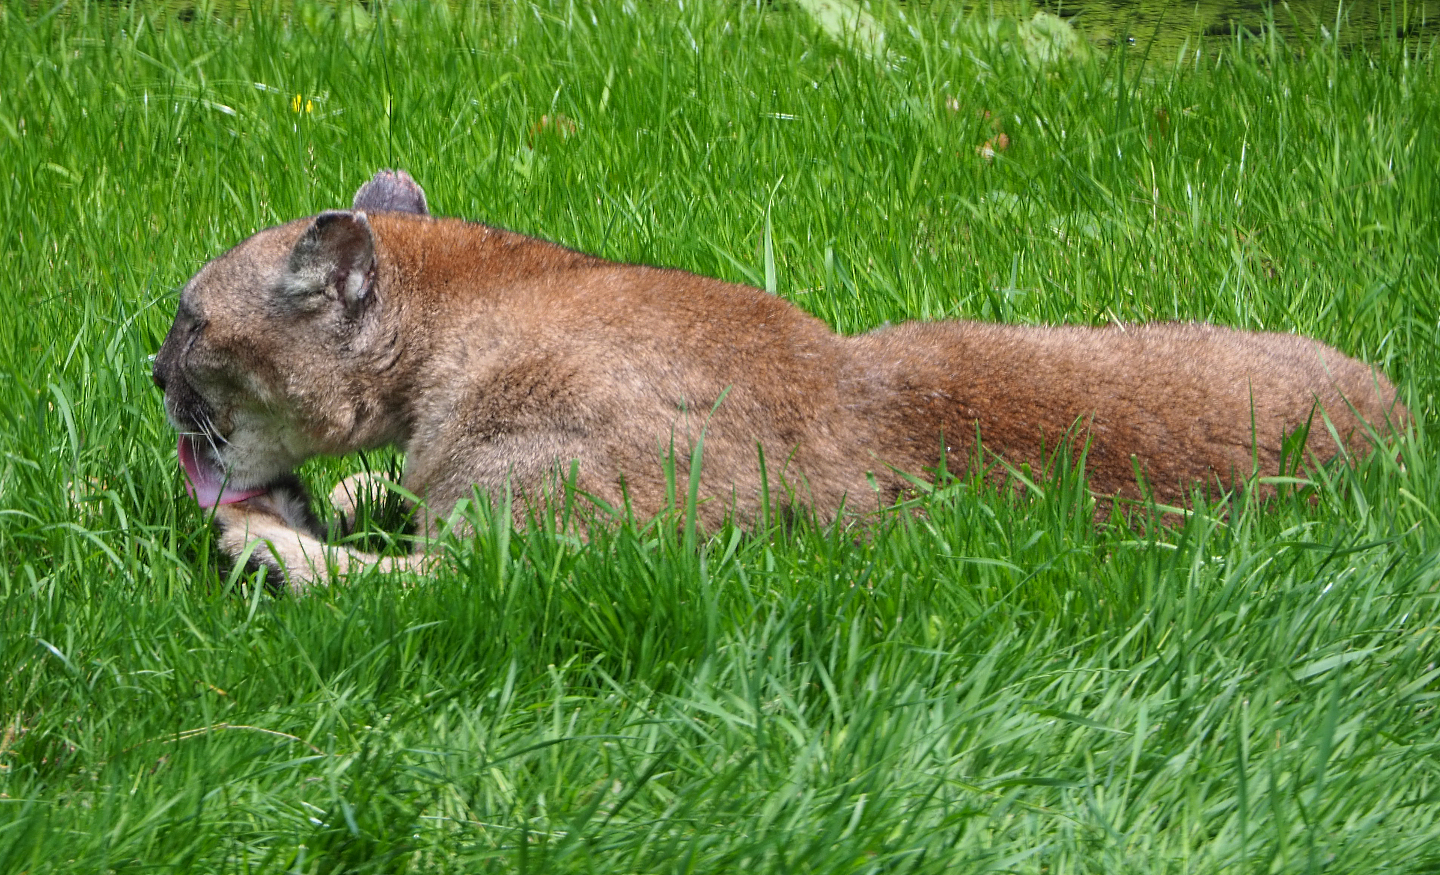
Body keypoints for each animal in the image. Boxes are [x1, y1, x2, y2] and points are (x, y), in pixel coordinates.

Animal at [152, 170, 1408, 591]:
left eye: (188, 317)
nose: (153, 370)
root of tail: (1399, 417)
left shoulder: (548, 564)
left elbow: (389, 582)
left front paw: (267, 536)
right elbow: (394, 498)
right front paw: (343, 494)